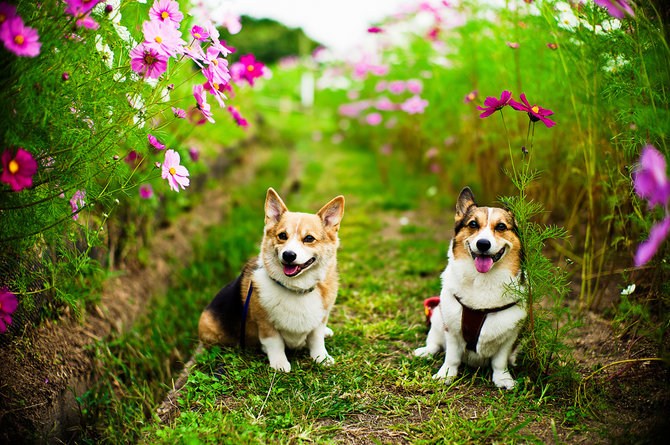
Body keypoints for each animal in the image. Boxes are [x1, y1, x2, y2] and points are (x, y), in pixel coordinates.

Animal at [198, 187, 346, 372]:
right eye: (282, 235)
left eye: (309, 238)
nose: (288, 255)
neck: (297, 289)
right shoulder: (265, 324)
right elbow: (275, 343)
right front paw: (279, 364)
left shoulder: (320, 320)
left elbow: (316, 339)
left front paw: (321, 358)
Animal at [414, 186, 532, 386]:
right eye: (473, 224)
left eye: (501, 227)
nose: (483, 244)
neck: (483, 280)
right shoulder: (451, 328)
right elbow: (452, 357)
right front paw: (446, 374)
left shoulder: (510, 334)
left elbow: (500, 361)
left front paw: (503, 378)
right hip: (437, 314)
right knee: (435, 341)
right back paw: (425, 351)